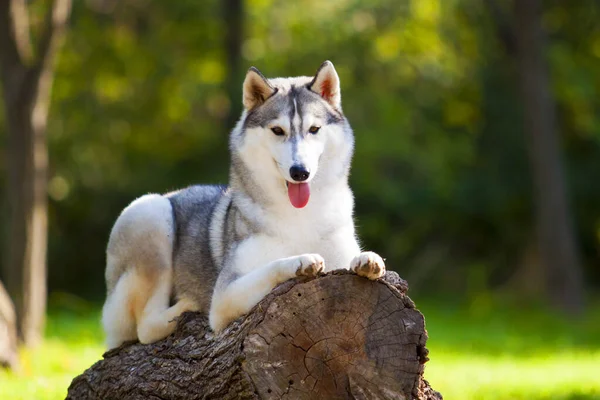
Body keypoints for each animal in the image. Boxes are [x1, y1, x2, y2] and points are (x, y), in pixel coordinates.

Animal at [102, 61, 384, 348]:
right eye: (278, 130)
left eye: (314, 129)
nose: (300, 172)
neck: (299, 215)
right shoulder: (225, 296)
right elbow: (272, 265)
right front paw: (300, 261)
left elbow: (360, 259)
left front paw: (370, 259)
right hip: (150, 213)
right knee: (145, 327)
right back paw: (186, 305)